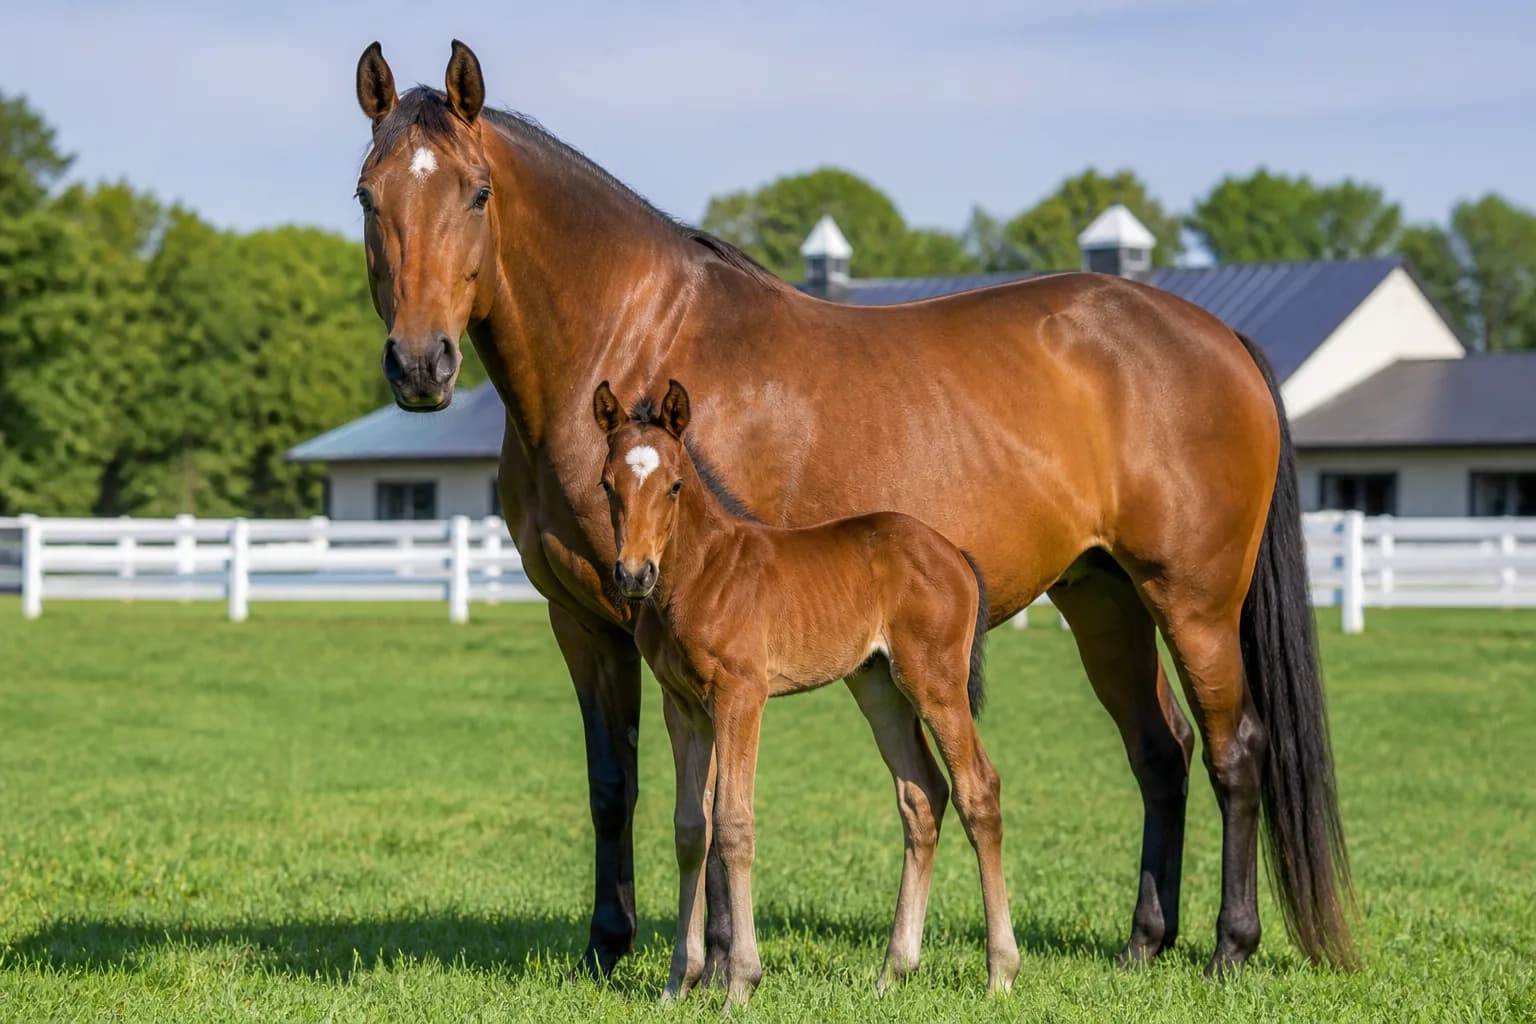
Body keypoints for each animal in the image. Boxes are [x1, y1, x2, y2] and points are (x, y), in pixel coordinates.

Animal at [593, 378, 1017, 1004]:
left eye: (673, 485)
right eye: (607, 483)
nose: (633, 574)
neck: (702, 572)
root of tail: (955, 554)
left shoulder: (741, 695)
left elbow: (733, 825)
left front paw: (740, 984)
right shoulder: (684, 707)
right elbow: (691, 829)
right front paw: (677, 984)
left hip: (936, 681)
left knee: (977, 790)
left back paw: (1000, 972)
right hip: (879, 687)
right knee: (922, 797)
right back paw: (892, 972)